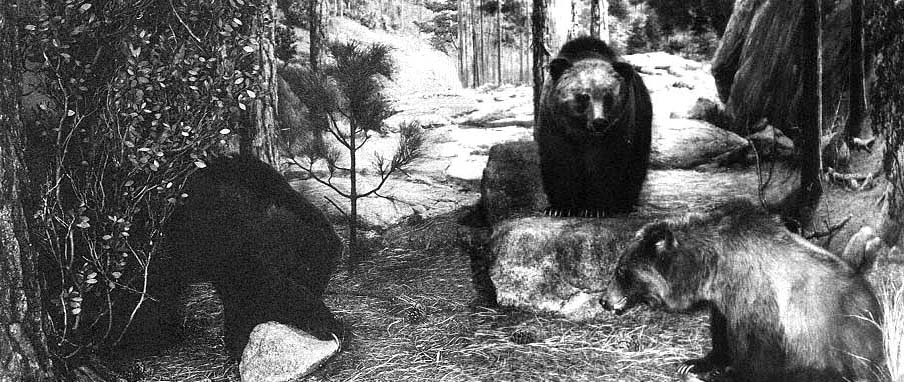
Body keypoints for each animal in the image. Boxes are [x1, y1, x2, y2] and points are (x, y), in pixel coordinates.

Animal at [532, 36, 652, 216]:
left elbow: (606, 163)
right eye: (583, 96)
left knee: (636, 164)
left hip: (641, 121)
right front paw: (559, 208)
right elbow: (559, 160)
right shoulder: (554, 124)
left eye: (608, 96)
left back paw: (625, 204)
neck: (583, 133)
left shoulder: (617, 128)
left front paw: (596, 208)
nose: (599, 121)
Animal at [600, 198, 884, 380]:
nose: (603, 300)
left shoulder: (761, 300)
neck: (714, 268)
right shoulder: (724, 301)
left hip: (841, 334)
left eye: (621, 271)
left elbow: (758, 351)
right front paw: (694, 364)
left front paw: (727, 374)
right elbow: (720, 333)